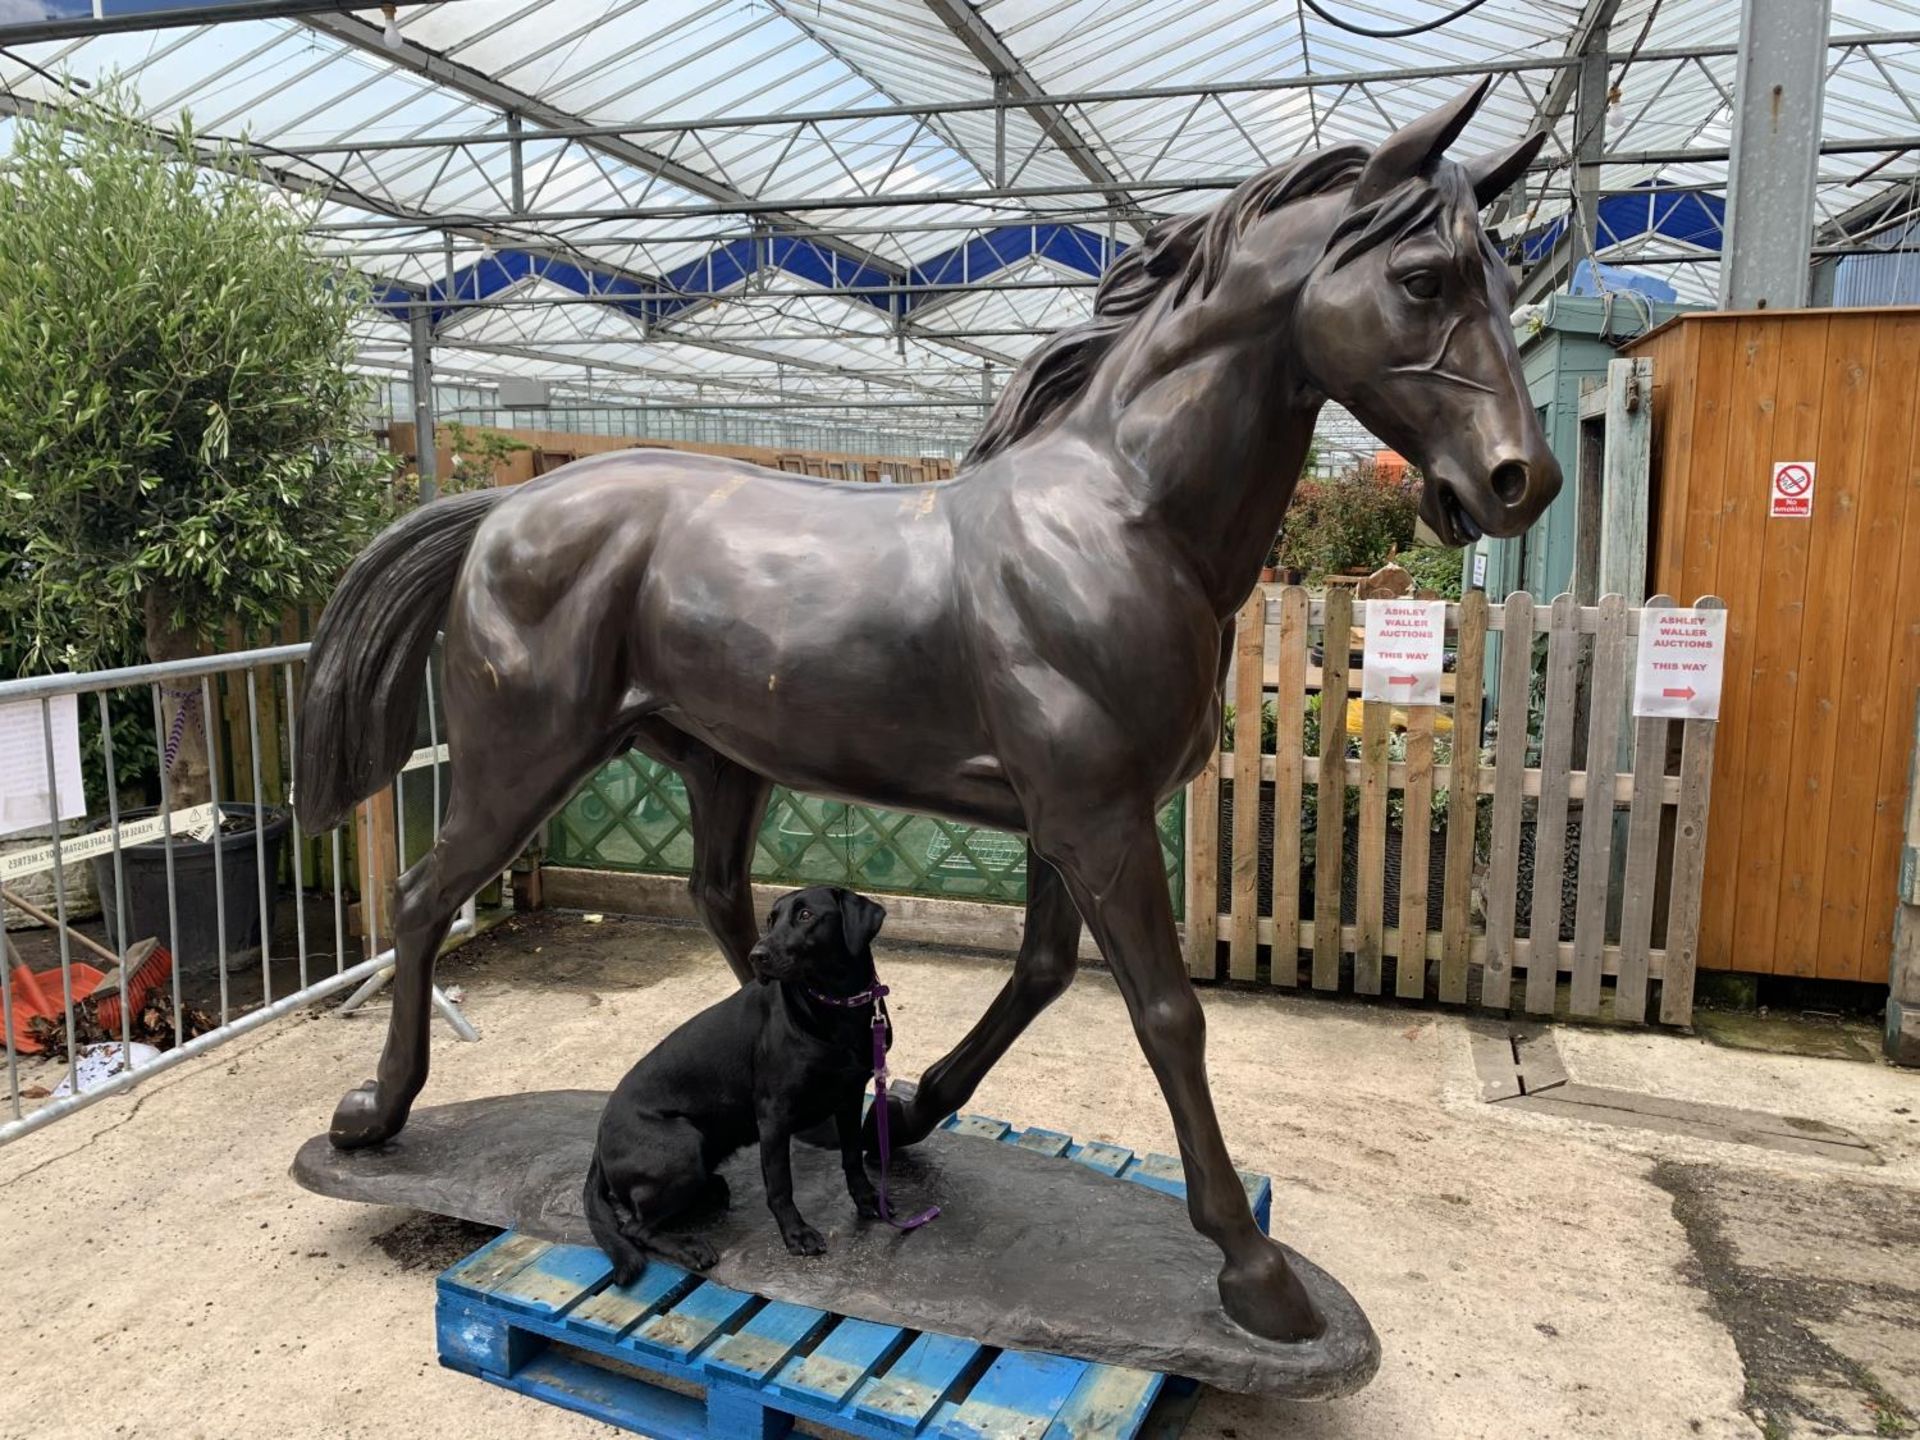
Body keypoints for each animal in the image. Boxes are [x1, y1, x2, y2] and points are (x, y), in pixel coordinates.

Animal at [579, 887, 887, 1290]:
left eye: (805, 915)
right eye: (771, 918)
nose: (757, 955)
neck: (834, 1008)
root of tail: (598, 1145)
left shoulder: (850, 1097)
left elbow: (852, 1158)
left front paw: (867, 1201)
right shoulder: (773, 1115)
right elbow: (780, 1185)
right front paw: (797, 1235)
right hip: (682, 1144)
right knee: (635, 1228)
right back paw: (690, 1247)